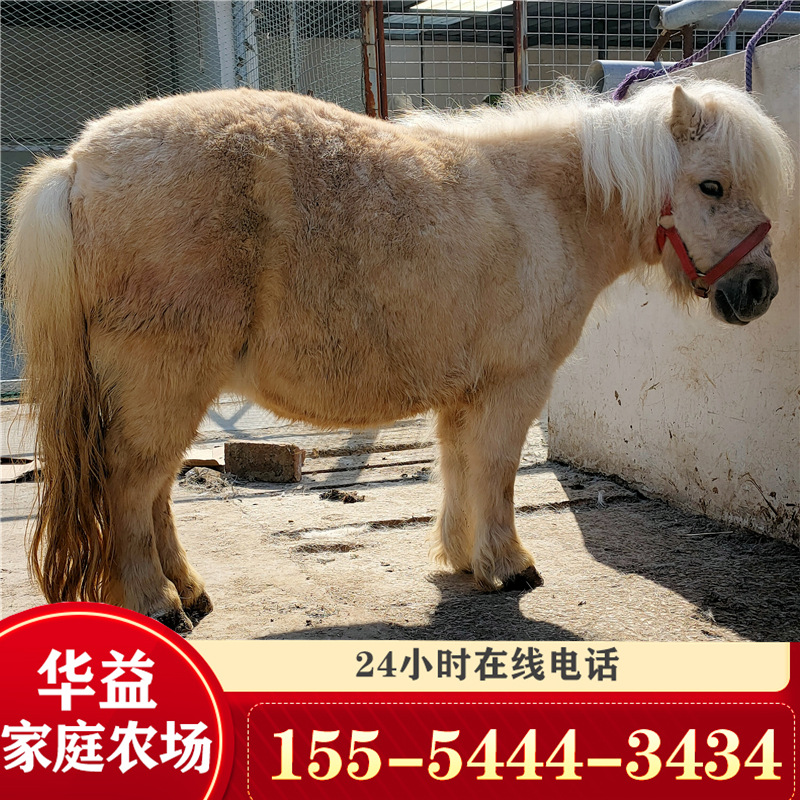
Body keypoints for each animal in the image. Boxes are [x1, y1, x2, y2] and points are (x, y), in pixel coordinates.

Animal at [4, 79, 792, 634]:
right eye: (712, 185)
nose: (760, 290)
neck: (546, 206)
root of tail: (77, 167)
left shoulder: (467, 393)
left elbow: (460, 470)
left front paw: (465, 560)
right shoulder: (513, 387)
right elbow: (498, 474)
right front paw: (510, 566)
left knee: (155, 492)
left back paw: (188, 594)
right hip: (164, 382)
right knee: (131, 487)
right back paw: (157, 601)